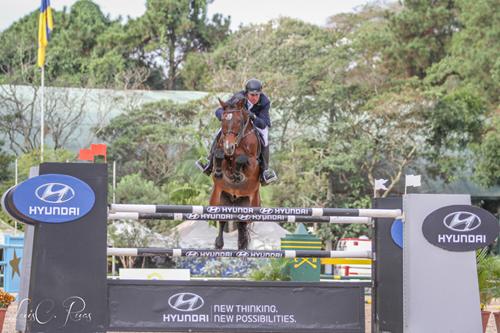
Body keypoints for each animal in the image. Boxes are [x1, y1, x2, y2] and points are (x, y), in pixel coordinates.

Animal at [209, 92, 262, 248]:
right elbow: (219, 156)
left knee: (242, 224)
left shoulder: (251, 165)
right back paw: (219, 243)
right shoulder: (221, 157)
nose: (229, 147)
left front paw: (238, 175)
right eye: (222, 120)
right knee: (222, 221)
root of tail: (234, 198)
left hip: (250, 208)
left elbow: (241, 159)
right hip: (218, 202)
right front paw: (219, 173)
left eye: (239, 121)